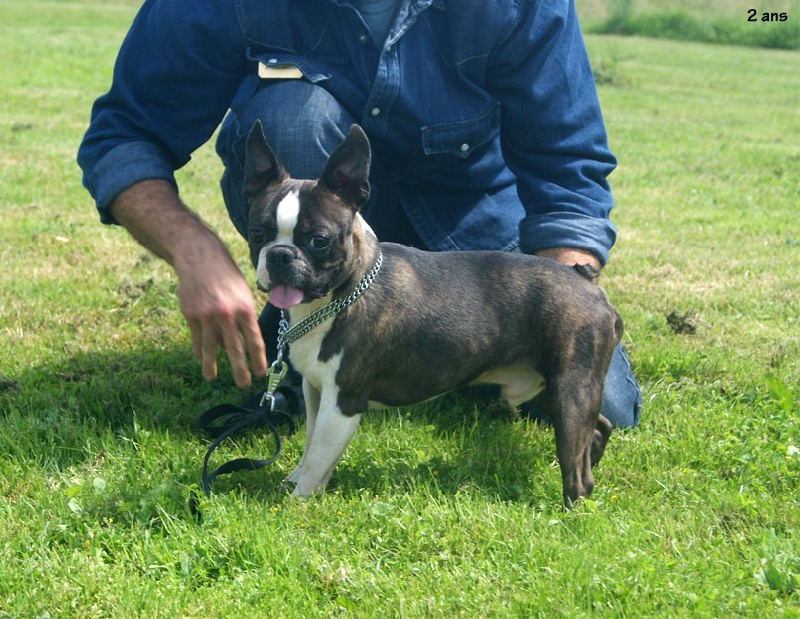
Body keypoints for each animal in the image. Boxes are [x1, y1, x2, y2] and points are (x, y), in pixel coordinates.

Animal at [243, 120, 621, 506]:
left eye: (319, 241)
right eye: (256, 233)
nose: (280, 255)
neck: (338, 297)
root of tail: (589, 285)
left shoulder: (342, 401)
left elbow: (319, 455)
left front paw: (299, 503)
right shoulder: (315, 389)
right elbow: (309, 446)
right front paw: (296, 481)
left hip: (571, 388)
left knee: (577, 470)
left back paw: (572, 507)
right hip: (548, 383)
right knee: (599, 427)